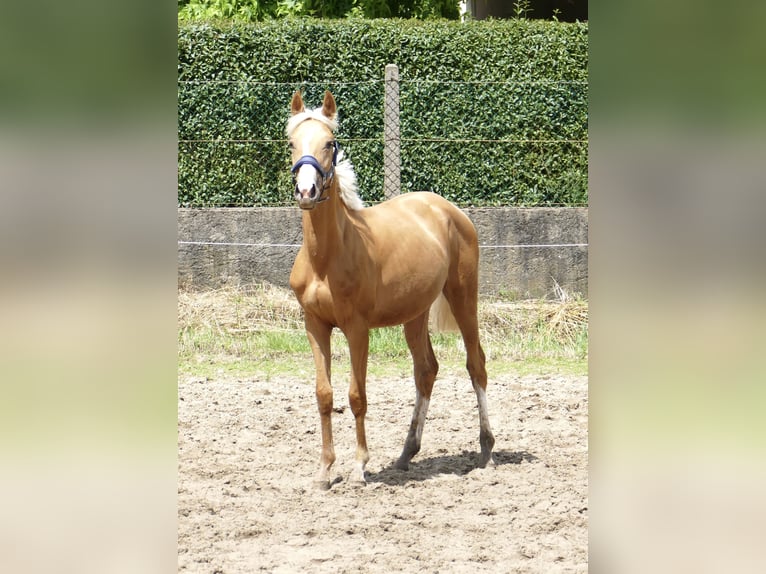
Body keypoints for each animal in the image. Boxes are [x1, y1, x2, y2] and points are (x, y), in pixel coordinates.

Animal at [288, 91, 498, 490]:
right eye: (292, 144)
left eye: (330, 143)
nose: (307, 191)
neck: (327, 257)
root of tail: (449, 209)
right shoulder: (314, 326)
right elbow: (324, 395)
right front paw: (324, 471)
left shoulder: (357, 329)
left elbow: (357, 396)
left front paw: (358, 467)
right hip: (415, 314)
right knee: (426, 370)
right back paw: (406, 453)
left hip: (464, 296)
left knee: (475, 364)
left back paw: (486, 449)